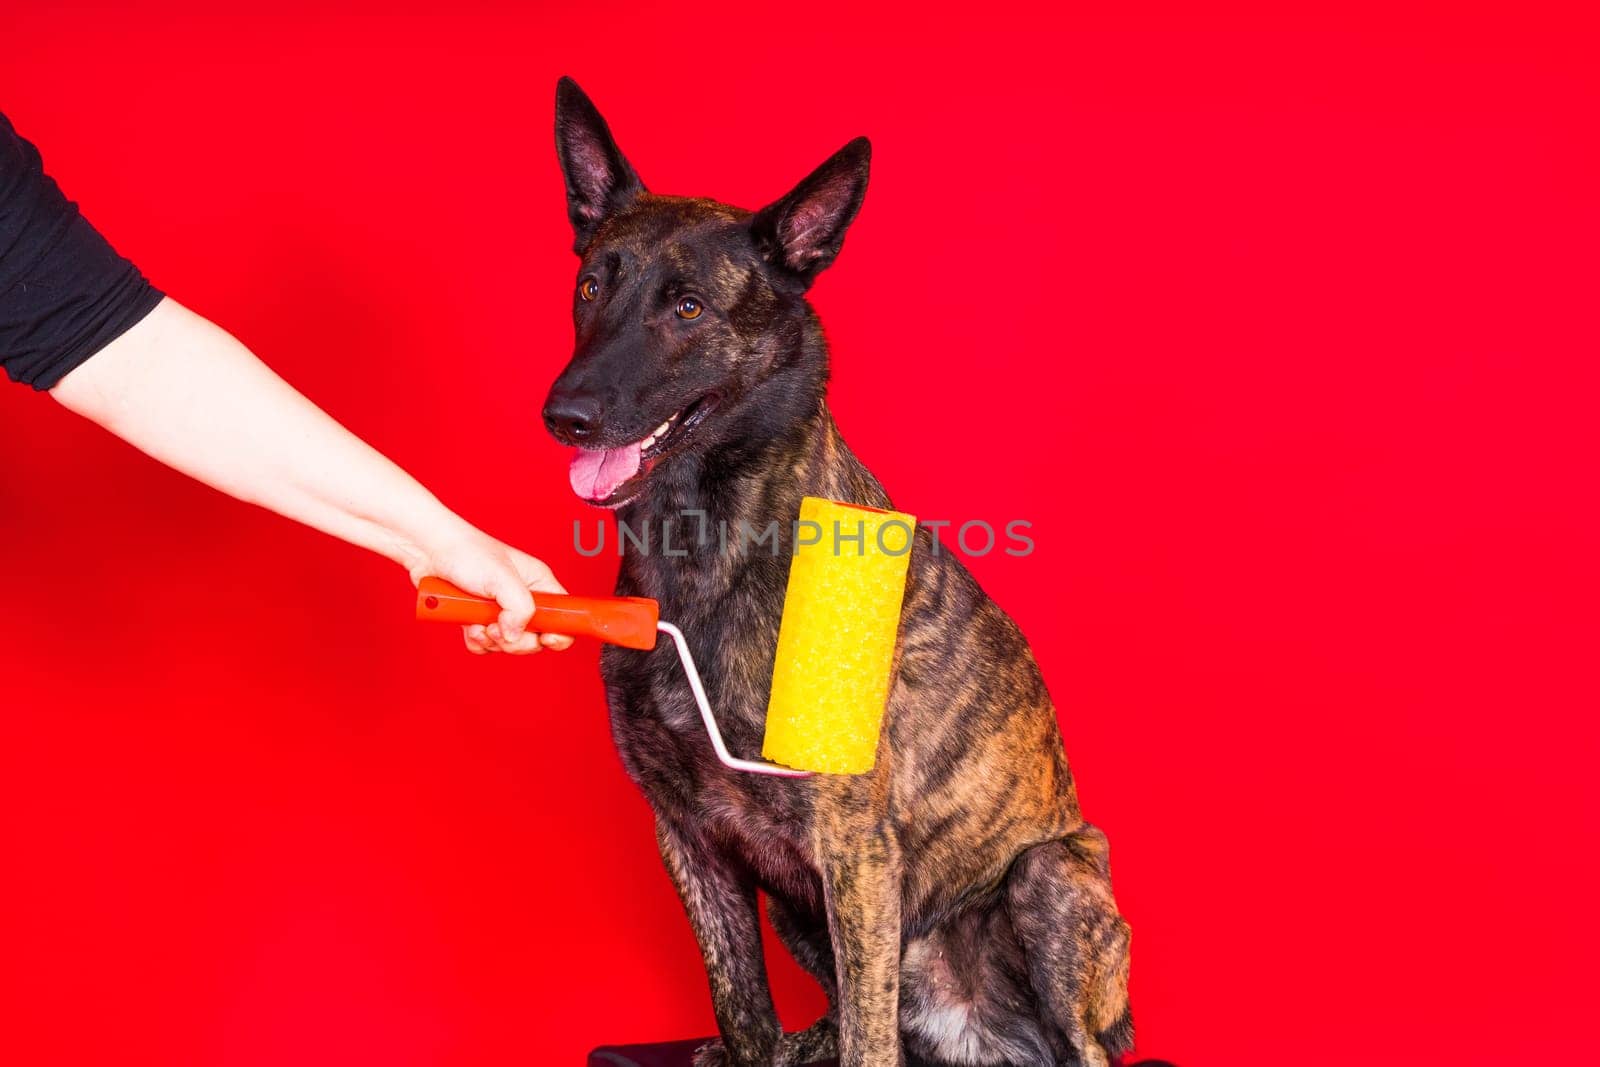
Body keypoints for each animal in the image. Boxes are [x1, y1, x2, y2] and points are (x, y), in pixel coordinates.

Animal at [544, 77, 1132, 1067]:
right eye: (592, 286)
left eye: (688, 308)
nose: (565, 414)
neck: (708, 551)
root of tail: (981, 1036)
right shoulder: (690, 839)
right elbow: (741, 1007)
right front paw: (747, 1042)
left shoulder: (854, 849)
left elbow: (867, 1032)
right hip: (798, 907)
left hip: (1050, 876)